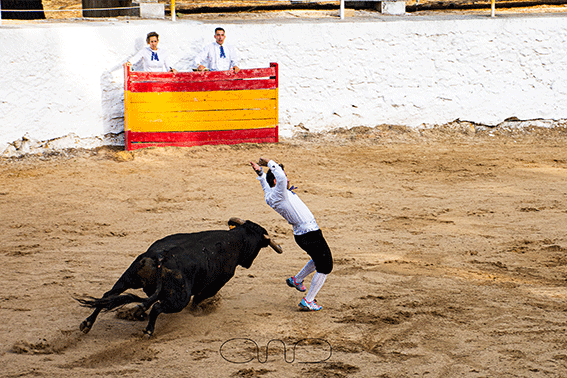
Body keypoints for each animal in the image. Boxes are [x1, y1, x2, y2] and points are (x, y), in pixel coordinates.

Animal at [76, 217, 282, 338]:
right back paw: (148, 330)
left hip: (128, 277)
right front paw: (196, 310)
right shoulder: (217, 283)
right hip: (179, 298)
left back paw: (87, 323)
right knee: (158, 307)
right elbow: (198, 297)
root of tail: (160, 257)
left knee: (107, 296)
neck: (237, 240)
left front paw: (138, 311)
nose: (248, 264)